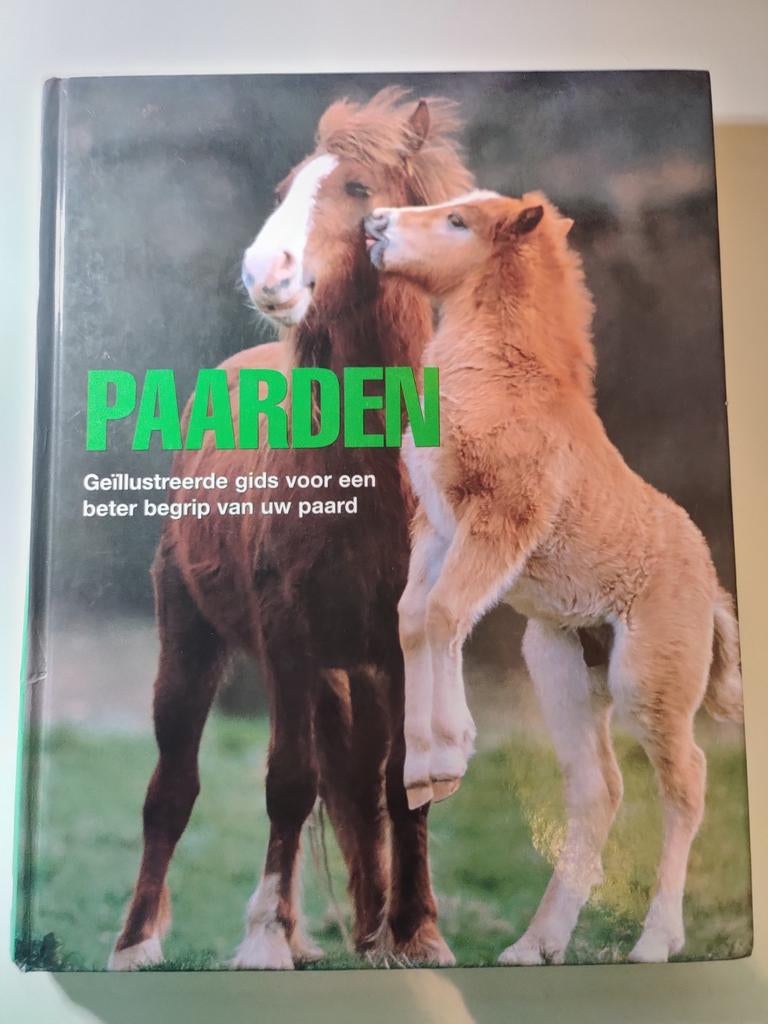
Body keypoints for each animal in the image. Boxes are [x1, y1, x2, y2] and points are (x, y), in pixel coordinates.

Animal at [108, 88, 474, 970]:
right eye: (286, 189)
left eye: (359, 189)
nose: (263, 272)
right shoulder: (287, 634)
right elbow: (286, 781)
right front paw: (264, 939)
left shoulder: (402, 648)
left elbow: (402, 788)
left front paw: (417, 935)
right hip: (194, 642)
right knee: (172, 791)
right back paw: (137, 944)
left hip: (356, 672)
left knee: (359, 787)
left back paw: (368, 930)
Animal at [363, 190, 743, 963]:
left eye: (457, 222)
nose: (375, 224)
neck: (502, 378)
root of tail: (710, 583)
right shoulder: (436, 529)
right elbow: (414, 619)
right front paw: (420, 769)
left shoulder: (499, 521)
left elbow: (445, 614)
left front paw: (449, 757)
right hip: (561, 665)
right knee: (598, 789)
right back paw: (535, 944)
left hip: (648, 681)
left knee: (686, 781)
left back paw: (656, 939)